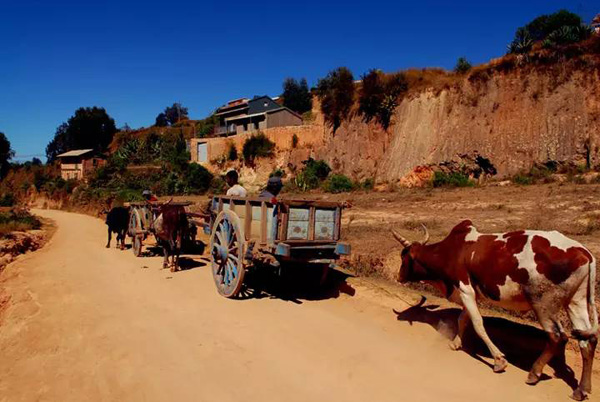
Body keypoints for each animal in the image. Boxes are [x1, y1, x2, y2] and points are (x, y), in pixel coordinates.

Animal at [392, 221, 596, 400]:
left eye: (404, 257)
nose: (399, 277)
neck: (451, 251)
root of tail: (584, 253)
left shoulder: (465, 289)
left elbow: (477, 323)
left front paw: (498, 360)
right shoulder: (471, 294)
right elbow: (463, 319)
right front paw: (456, 343)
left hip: (543, 304)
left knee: (557, 337)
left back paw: (534, 373)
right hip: (575, 302)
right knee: (588, 341)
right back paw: (581, 390)